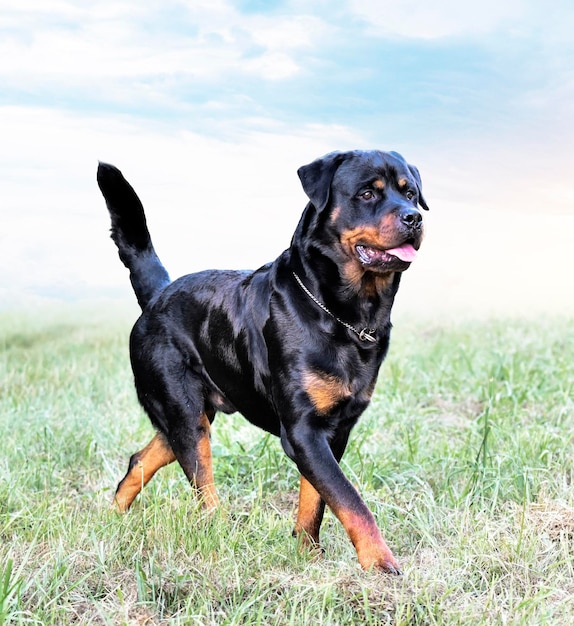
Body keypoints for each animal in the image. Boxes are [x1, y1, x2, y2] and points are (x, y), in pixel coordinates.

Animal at [97, 150, 430, 572]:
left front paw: (307, 551)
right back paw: (218, 534)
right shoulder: (303, 429)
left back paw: (113, 517)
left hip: (188, 415)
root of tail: (159, 294)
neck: (347, 316)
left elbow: (316, 500)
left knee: (141, 459)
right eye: (368, 193)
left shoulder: (334, 431)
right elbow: (350, 500)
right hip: (184, 413)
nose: (414, 217)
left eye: (411, 193)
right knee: (203, 488)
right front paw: (381, 565)